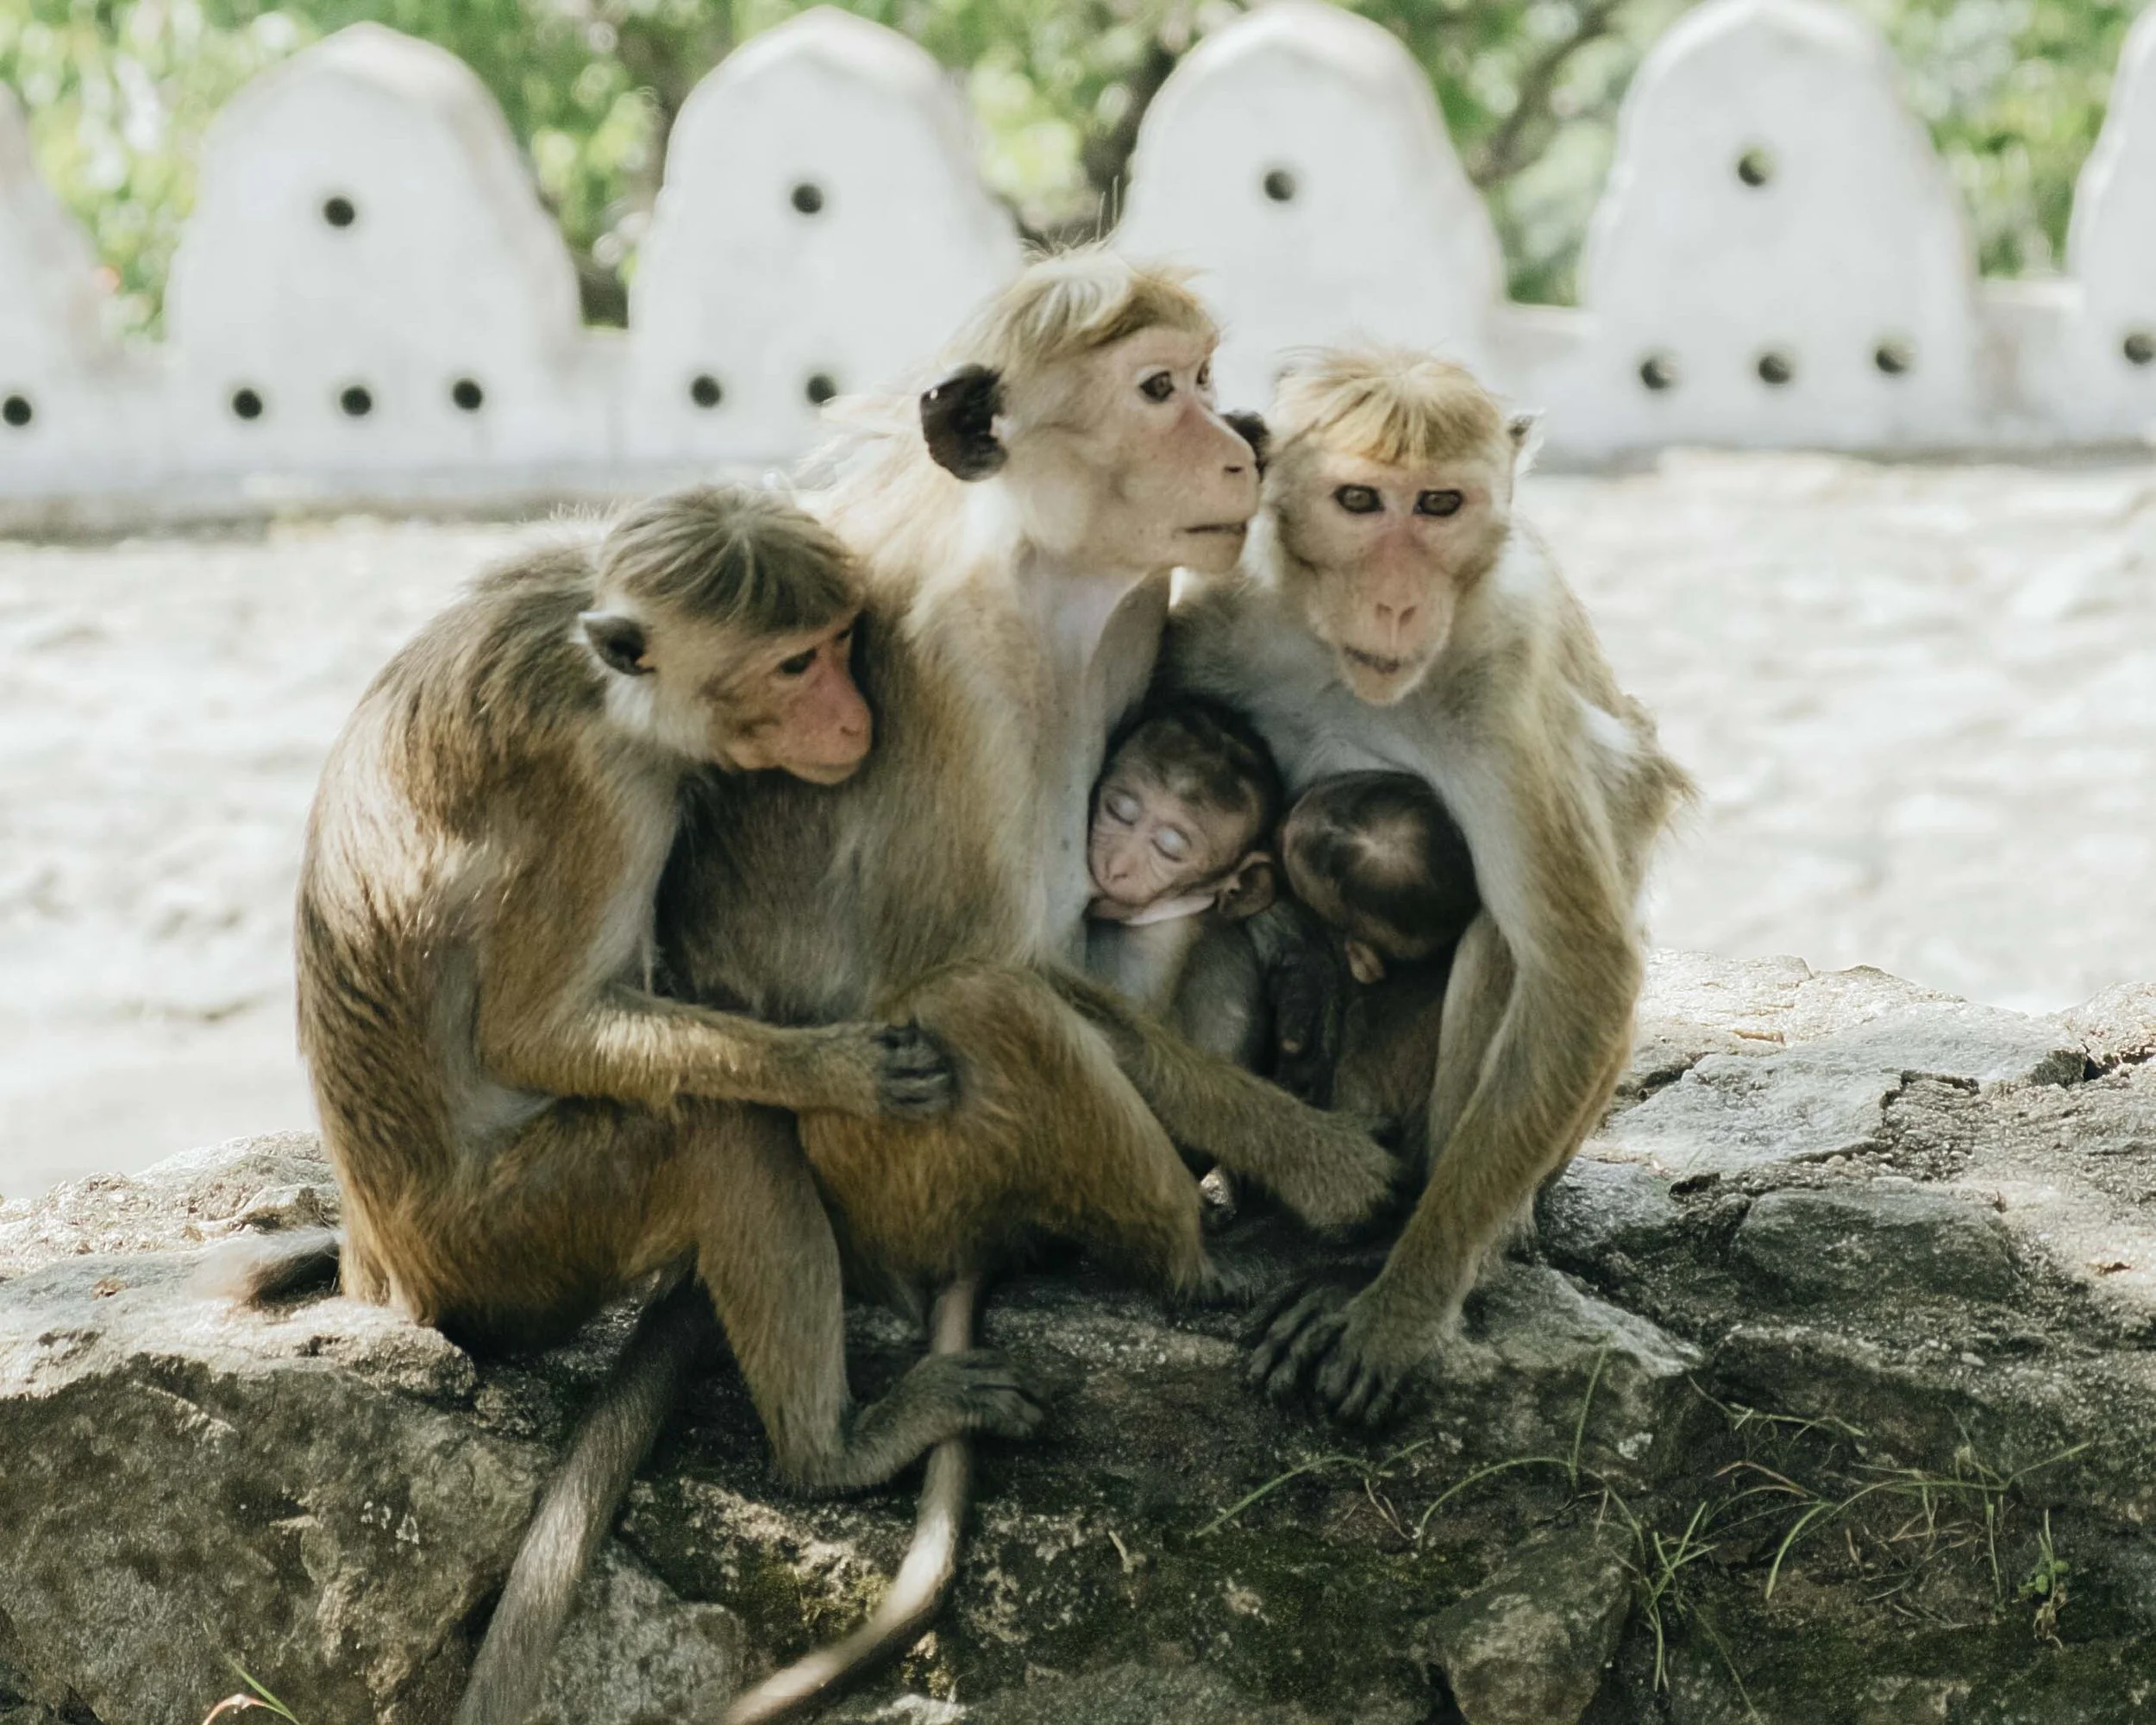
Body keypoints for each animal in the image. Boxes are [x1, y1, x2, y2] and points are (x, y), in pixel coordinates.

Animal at [1164, 348, 1696, 1427]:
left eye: (1440, 503)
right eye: (1360, 500)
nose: (1399, 600)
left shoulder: (1501, 675)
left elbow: (1579, 969)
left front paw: (1400, 1309)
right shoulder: (1213, 618)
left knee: (1507, 946)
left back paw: (1381, 1254)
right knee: (1212, 931)